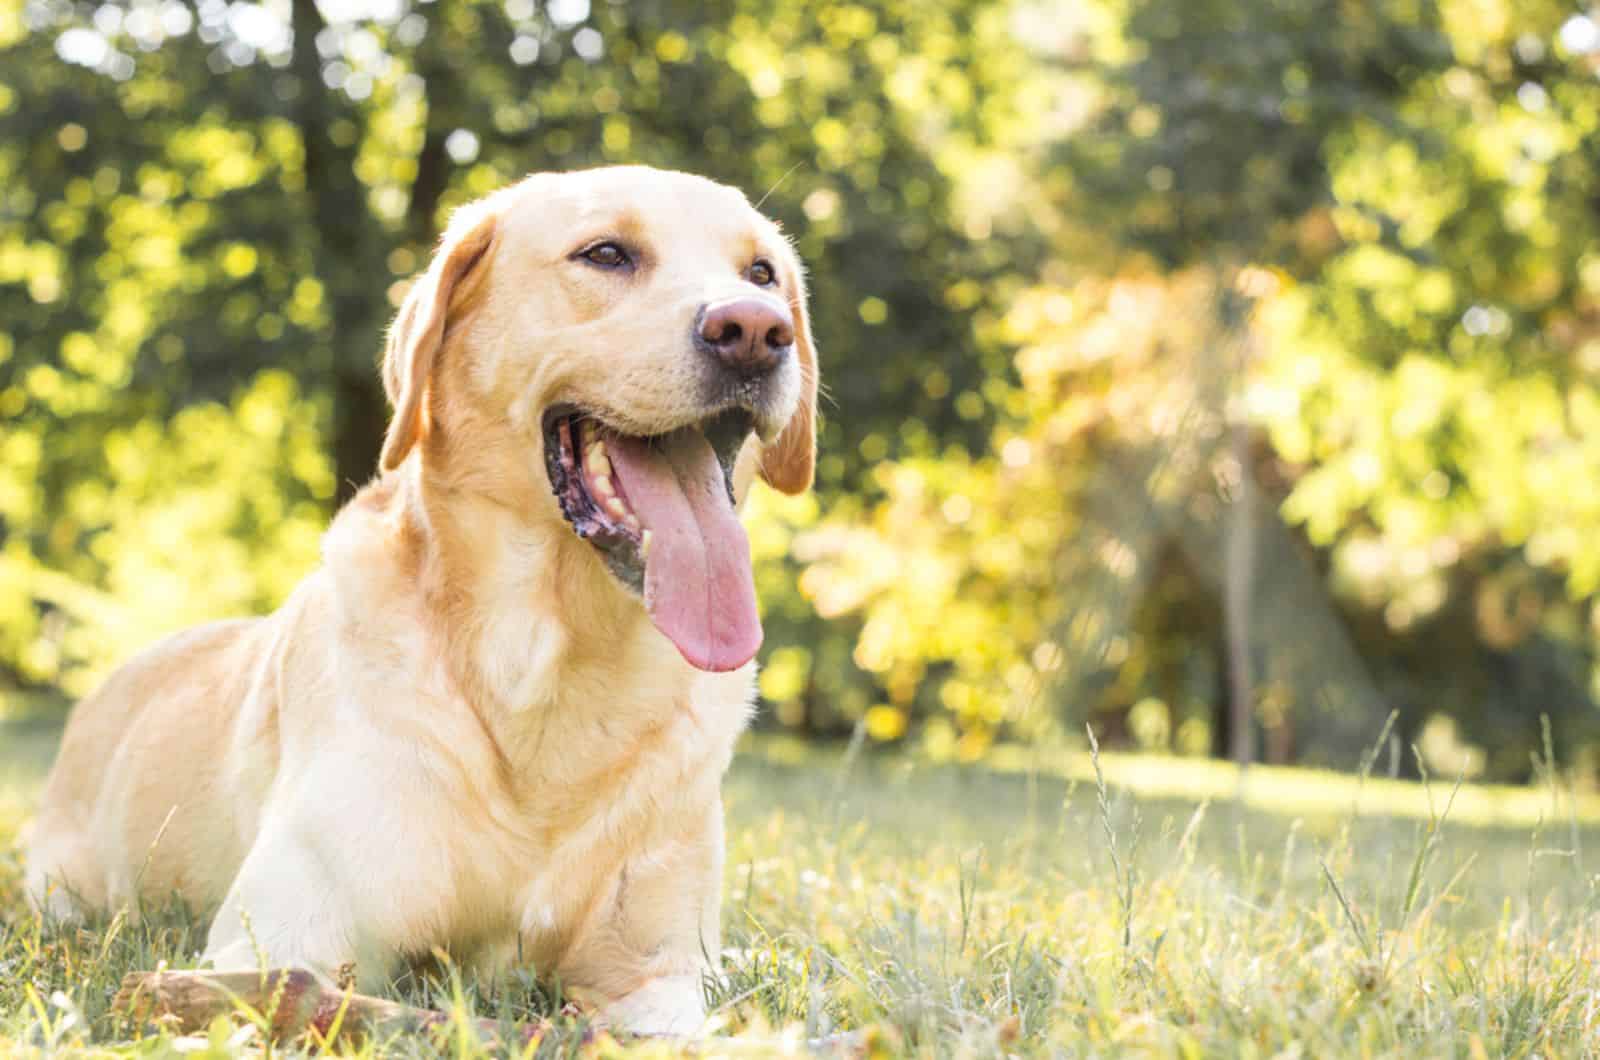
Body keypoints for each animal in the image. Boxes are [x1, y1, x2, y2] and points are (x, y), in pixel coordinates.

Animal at [23, 166, 819, 1037]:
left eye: (761, 273)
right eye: (606, 254)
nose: (756, 331)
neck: (553, 669)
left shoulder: (661, 973)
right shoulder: (280, 931)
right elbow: (315, 990)